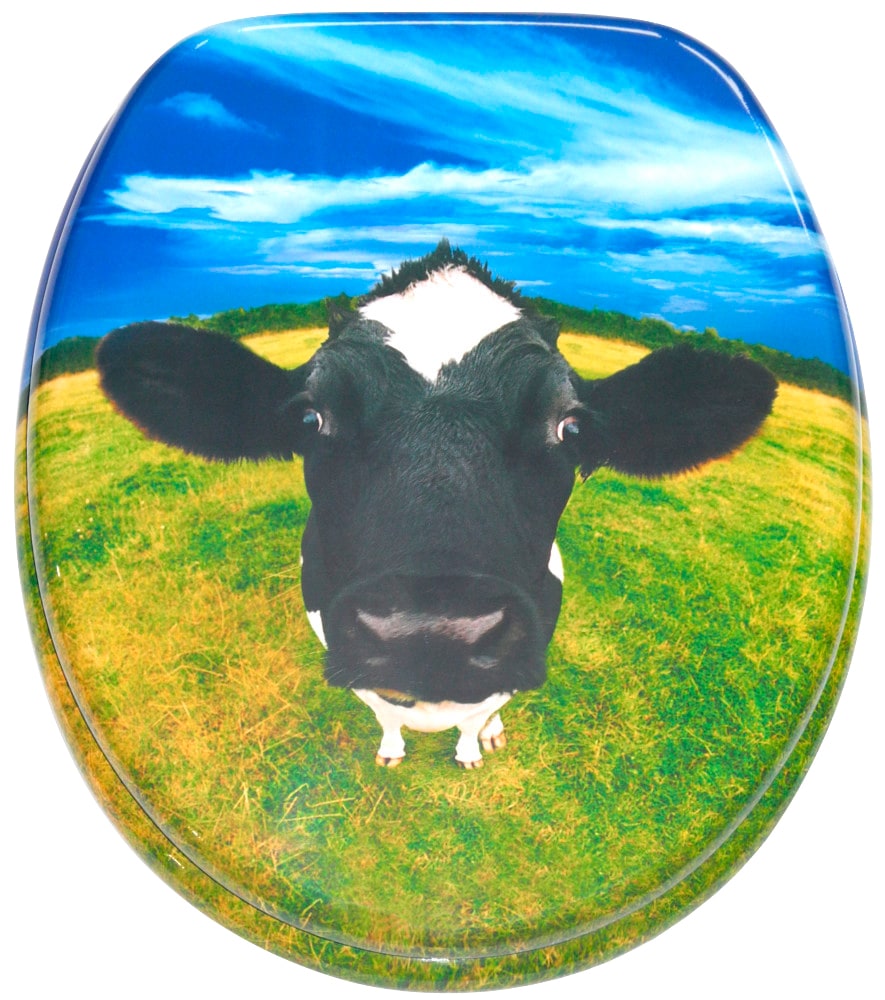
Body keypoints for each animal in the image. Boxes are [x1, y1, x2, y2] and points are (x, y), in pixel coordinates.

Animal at [96, 241, 777, 768]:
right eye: (311, 418)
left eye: (571, 428)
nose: (433, 631)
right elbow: (381, 710)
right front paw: (393, 749)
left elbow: (480, 713)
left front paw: (473, 748)